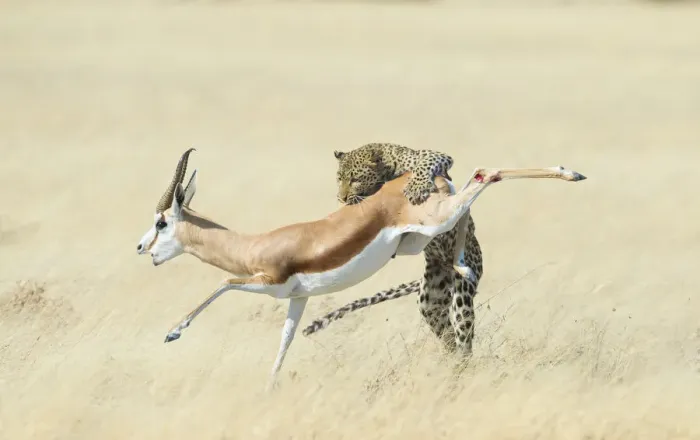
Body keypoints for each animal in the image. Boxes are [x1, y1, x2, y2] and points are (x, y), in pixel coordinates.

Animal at [301, 142, 484, 356]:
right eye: (339, 178)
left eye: (355, 179)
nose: (342, 198)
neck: (386, 172)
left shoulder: (435, 156)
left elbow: (425, 165)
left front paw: (416, 188)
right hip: (432, 294)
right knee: (439, 320)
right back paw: (448, 355)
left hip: (464, 283)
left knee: (462, 323)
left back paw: (462, 358)